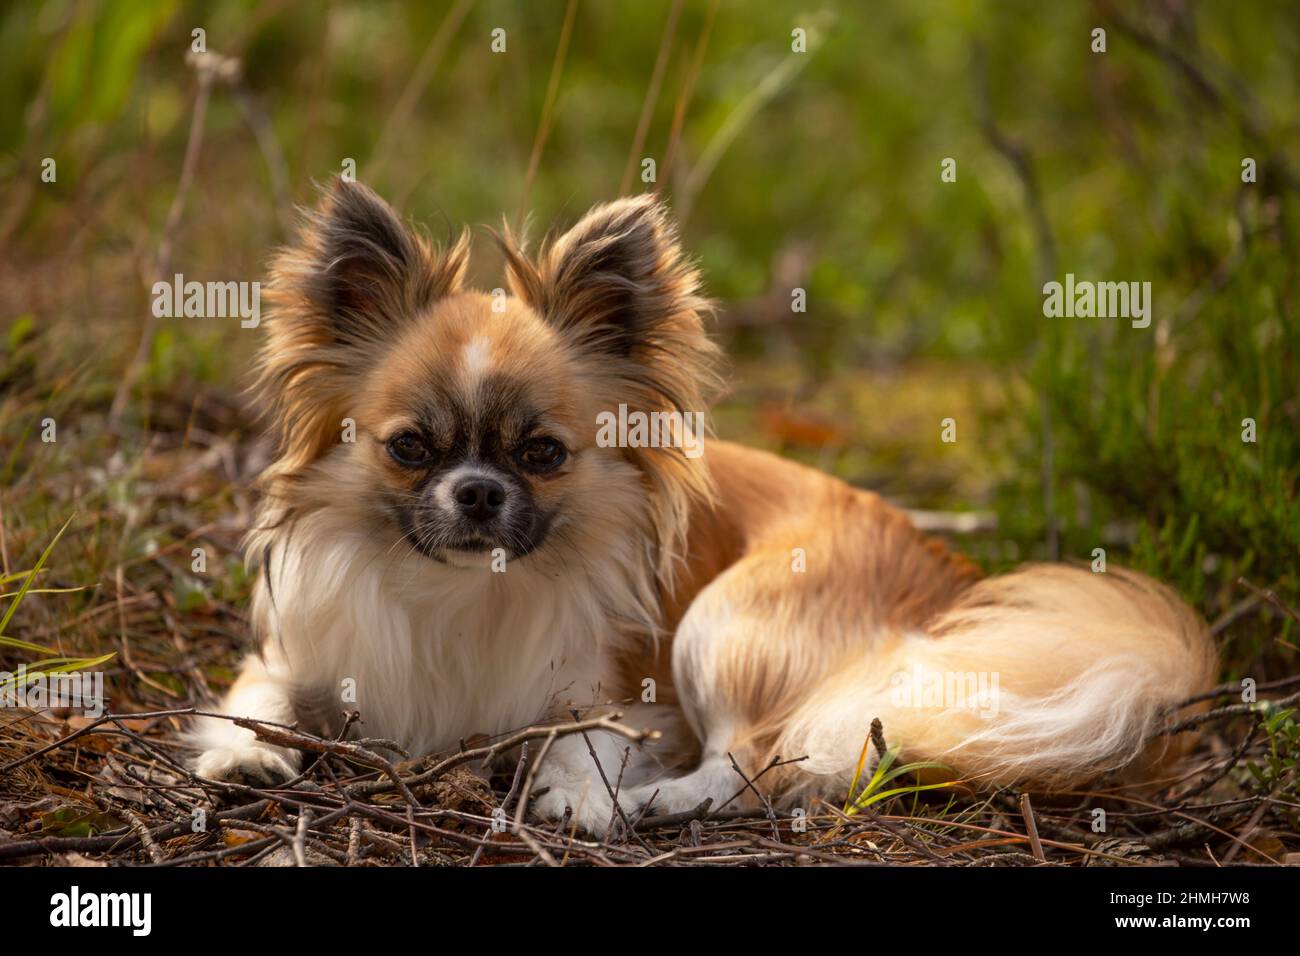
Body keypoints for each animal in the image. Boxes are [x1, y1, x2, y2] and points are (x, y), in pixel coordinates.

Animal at [192, 178, 1216, 832]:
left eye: (542, 454)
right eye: (410, 449)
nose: (477, 491)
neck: (461, 593)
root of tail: (951, 592)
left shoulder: (626, 694)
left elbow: (589, 737)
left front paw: (582, 795)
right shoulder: (302, 651)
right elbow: (256, 692)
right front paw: (242, 756)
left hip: (727, 623)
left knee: (756, 767)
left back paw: (658, 803)